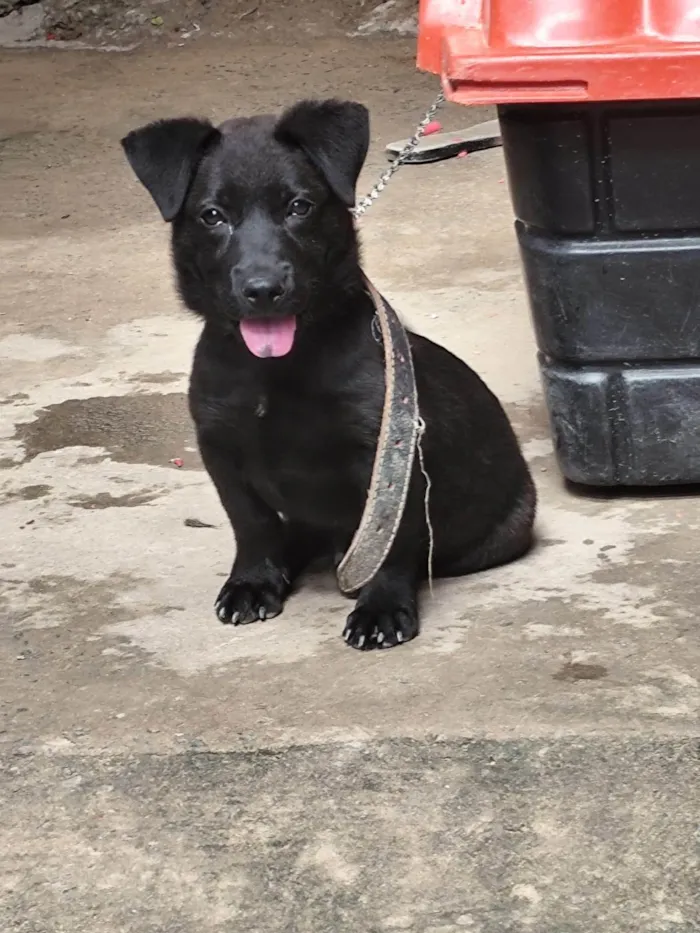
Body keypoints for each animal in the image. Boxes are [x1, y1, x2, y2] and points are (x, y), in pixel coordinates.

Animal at [121, 96, 536, 648]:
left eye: (299, 207)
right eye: (212, 216)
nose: (263, 289)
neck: (276, 370)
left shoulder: (388, 454)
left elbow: (389, 539)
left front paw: (381, 607)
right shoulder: (220, 446)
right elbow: (250, 521)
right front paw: (253, 581)